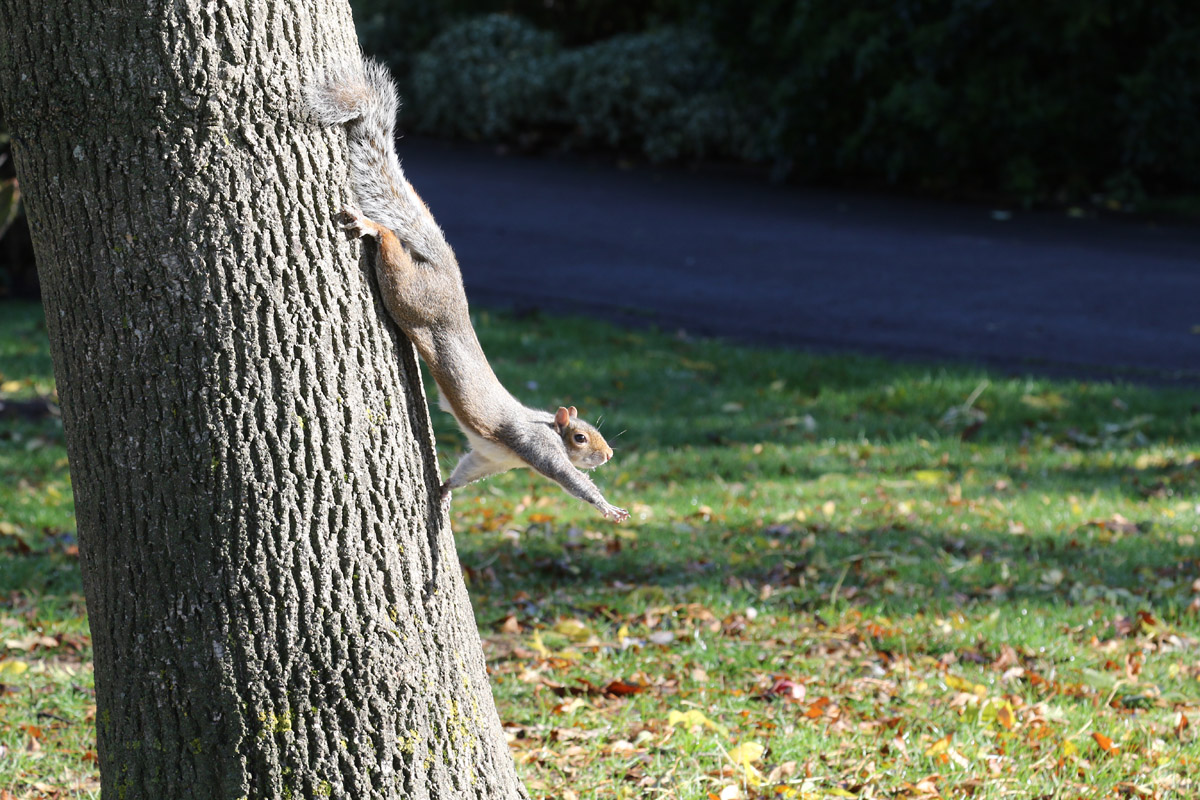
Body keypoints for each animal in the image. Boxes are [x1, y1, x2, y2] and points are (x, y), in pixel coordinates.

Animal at [309, 59, 629, 523]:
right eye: (581, 438)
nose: (608, 456)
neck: (546, 426)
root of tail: (447, 270)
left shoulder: (489, 459)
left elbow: (467, 470)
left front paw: (444, 493)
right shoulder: (539, 449)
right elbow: (572, 482)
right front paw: (608, 506)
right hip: (411, 296)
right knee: (391, 248)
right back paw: (373, 227)